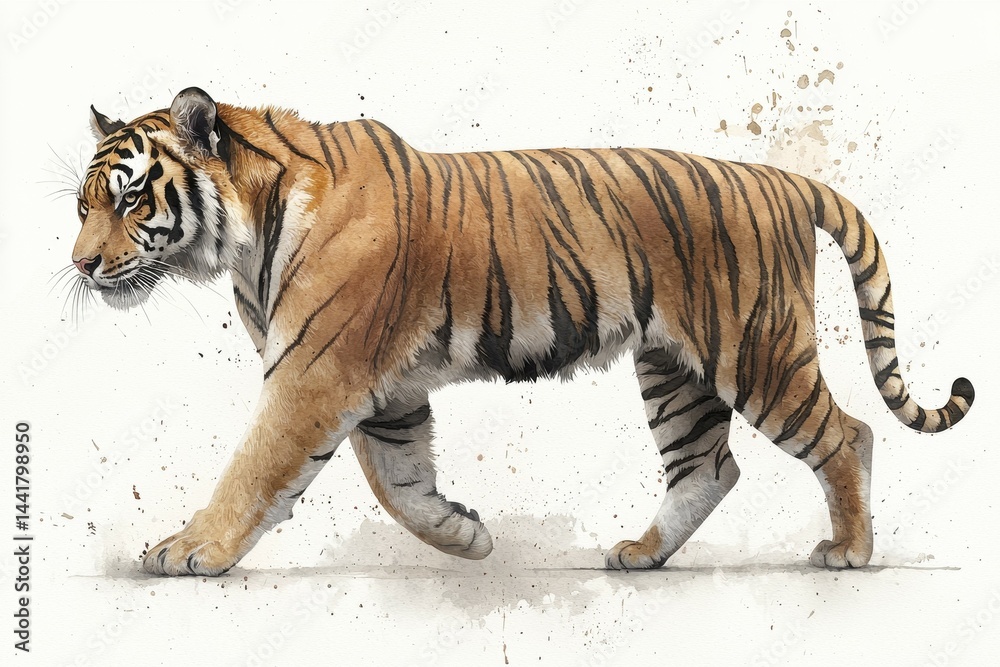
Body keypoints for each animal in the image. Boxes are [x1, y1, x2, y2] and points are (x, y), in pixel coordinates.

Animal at [69, 87, 974, 576]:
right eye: (81, 205)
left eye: (129, 198)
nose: (79, 264)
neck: (244, 235)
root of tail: (783, 178)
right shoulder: (382, 389)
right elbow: (398, 482)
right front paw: (466, 536)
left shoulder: (315, 373)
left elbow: (255, 470)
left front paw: (189, 549)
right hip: (673, 368)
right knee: (709, 466)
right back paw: (643, 552)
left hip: (757, 349)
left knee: (846, 433)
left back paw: (848, 550)